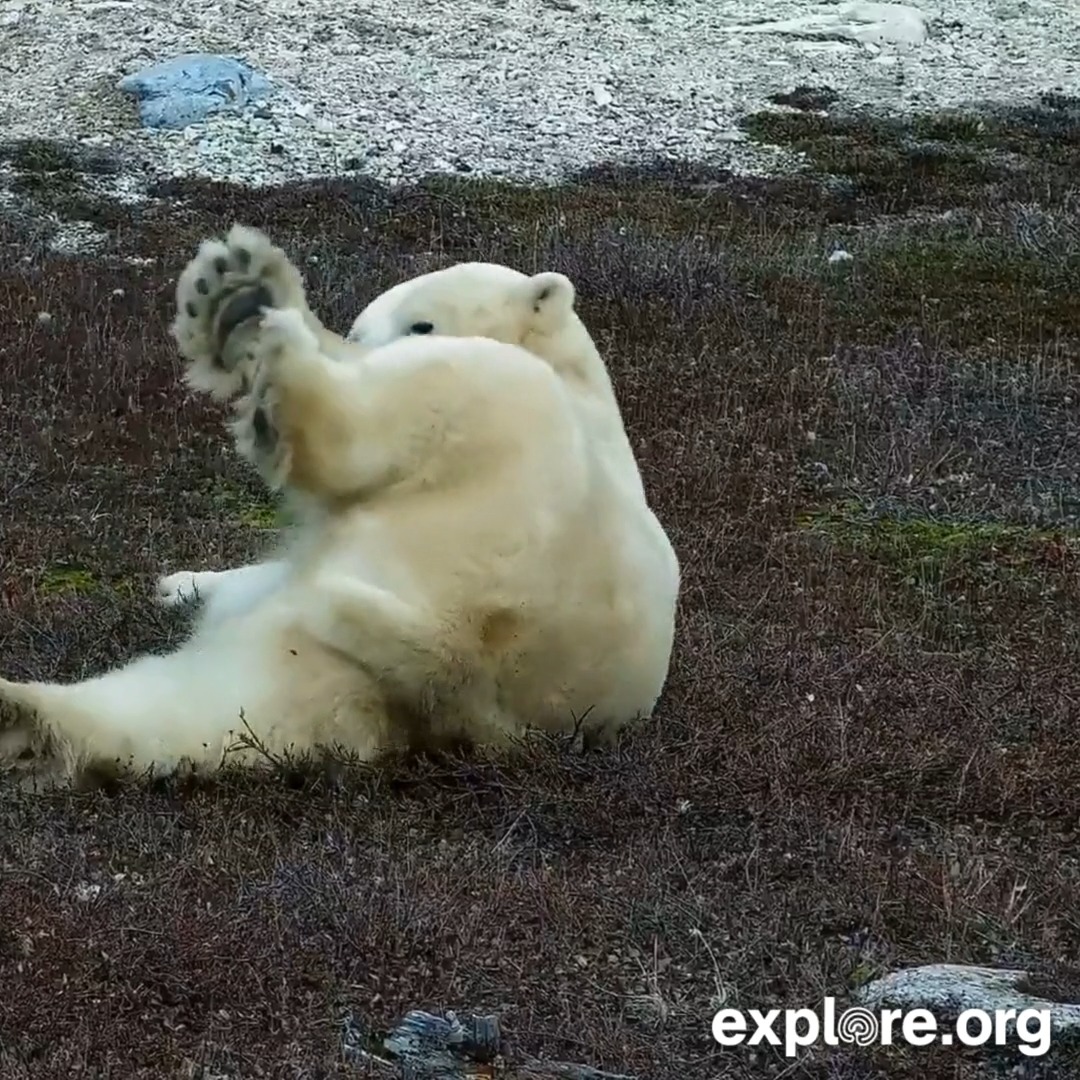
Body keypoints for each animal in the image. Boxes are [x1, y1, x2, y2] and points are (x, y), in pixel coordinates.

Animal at [0, 225, 680, 789]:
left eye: (421, 321)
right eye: (363, 322)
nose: (362, 332)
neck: (577, 375)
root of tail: (459, 656)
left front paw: (242, 296)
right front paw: (181, 583)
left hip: (496, 417)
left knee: (387, 415)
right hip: (340, 672)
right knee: (208, 707)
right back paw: (26, 724)